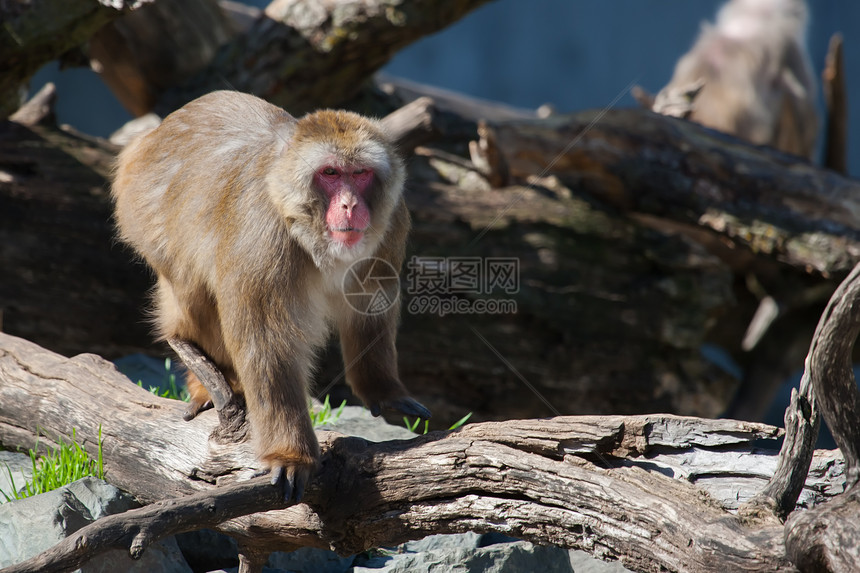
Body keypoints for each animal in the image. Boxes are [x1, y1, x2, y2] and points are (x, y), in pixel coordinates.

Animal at [112, 90, 430, 500]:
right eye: (330, 173)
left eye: (360, 174)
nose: (350, 205)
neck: (303, 224)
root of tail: (151, 137)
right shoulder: (263, 236)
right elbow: (266, 342)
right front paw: (290, 455)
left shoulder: (391, 222)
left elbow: (371, 304)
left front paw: (382, 388)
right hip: (145, 214)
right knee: (192, 292)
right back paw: (194, 360)